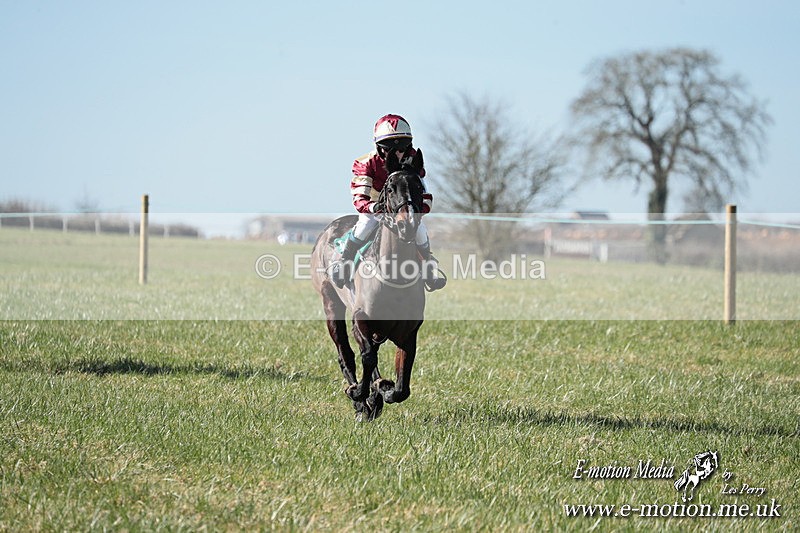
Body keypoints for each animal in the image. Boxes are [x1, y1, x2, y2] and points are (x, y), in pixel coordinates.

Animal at [311, 149, 427, 421]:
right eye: (391, 188)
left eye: (419, 186)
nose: (407, 224)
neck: (394, 275)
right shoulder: (361, 320)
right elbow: (366, 357)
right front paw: (361, 395)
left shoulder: (408, 333)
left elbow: (402, 386)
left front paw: (383, 391)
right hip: (331, 303)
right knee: (346, 353)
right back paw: (360, 398)